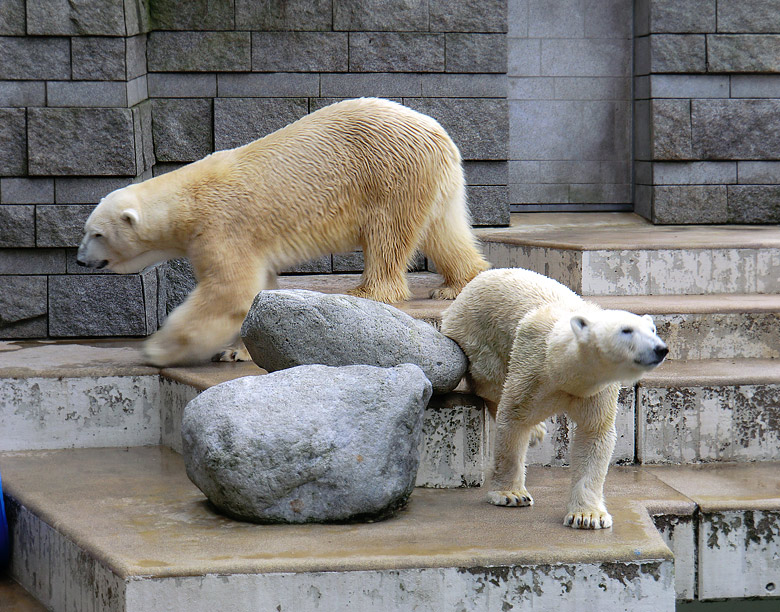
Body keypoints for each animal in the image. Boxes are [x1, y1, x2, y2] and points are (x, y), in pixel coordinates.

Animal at [74, 98, 488, 366]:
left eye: (96, 234)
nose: (79, 260)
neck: (188, 201)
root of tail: (438, 134)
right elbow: (258, 290)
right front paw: (237, 351)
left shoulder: (222, 228)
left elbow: (228, 293)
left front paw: (157, 349)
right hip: (432, 180)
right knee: (443, 231)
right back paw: (457, 284)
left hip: (389, 174)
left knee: (387, 234)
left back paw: (366, 292)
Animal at [442, 270, 668, 528]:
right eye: (626, 330)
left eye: (652, 330)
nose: (660, 349)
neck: (562, 367)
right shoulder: (532, 369)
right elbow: (514, 418)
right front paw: (511, 494)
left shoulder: (598, 389)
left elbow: (595, 434)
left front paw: (588, 516)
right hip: (480, 339)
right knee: (490, 383)